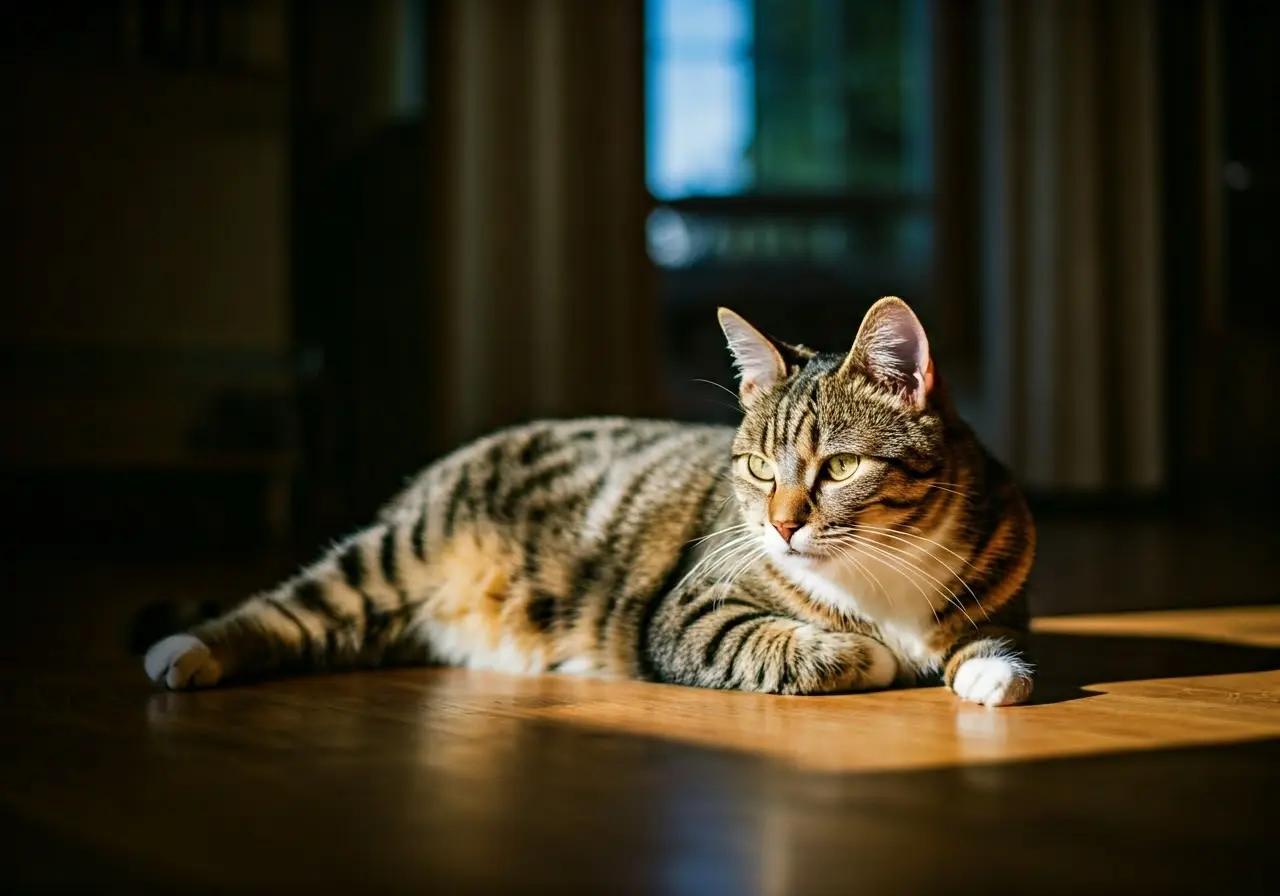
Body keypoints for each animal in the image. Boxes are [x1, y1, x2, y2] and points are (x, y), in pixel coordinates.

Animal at [142, 299, 1039, 706]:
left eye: (842, 465)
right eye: (757, 467)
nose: (783, 525)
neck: (879, 574)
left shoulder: (1003, 576)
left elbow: (987, 637)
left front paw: (992, 670)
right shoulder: (689, 610)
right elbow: (780, 642)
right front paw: (861, 652)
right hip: (396, 553)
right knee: (289, 607)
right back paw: (187, 649)